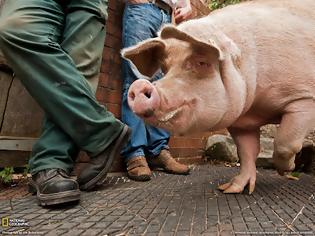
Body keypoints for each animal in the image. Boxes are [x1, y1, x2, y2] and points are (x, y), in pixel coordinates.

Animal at [122, 0, 315, 194]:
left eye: (202, 62)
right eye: (164, 68)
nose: (139, 85)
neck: (257, 108)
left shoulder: (304, 97)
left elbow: (285, 143)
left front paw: (286, 171)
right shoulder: (241, 121)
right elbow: (246, 151)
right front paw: (230, 189)